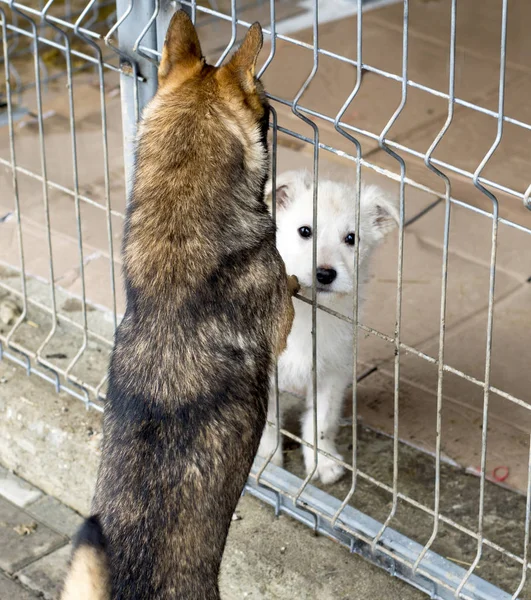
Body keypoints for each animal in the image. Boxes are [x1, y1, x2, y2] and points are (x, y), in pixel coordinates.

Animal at [258, 168, 400, 482]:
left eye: (351, 238)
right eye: (304, 231)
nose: (325, 274)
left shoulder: (332, 372)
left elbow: (322, 420)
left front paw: (321, 461)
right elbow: (267, 422)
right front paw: (266, 458)